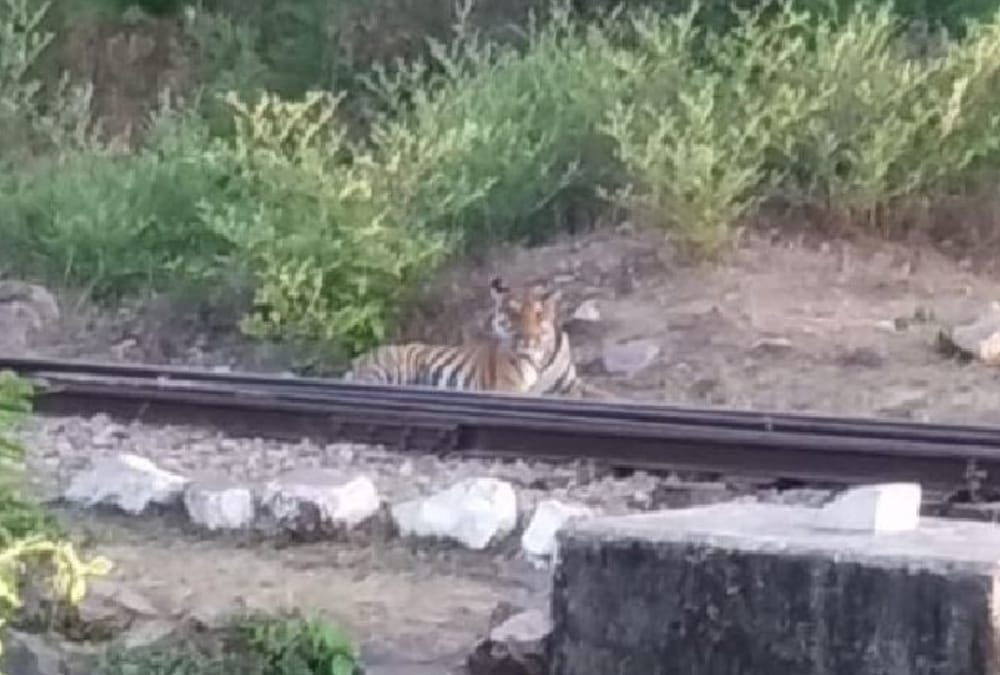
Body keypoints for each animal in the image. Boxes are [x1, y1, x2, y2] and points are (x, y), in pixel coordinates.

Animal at [344, 277, 617, 399]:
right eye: (513, 313)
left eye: (539, 314)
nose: (529, 338)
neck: (539, 357)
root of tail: (359, 359)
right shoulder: (509, 388)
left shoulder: (573, 384)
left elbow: (604, 394)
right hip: (388, 369)